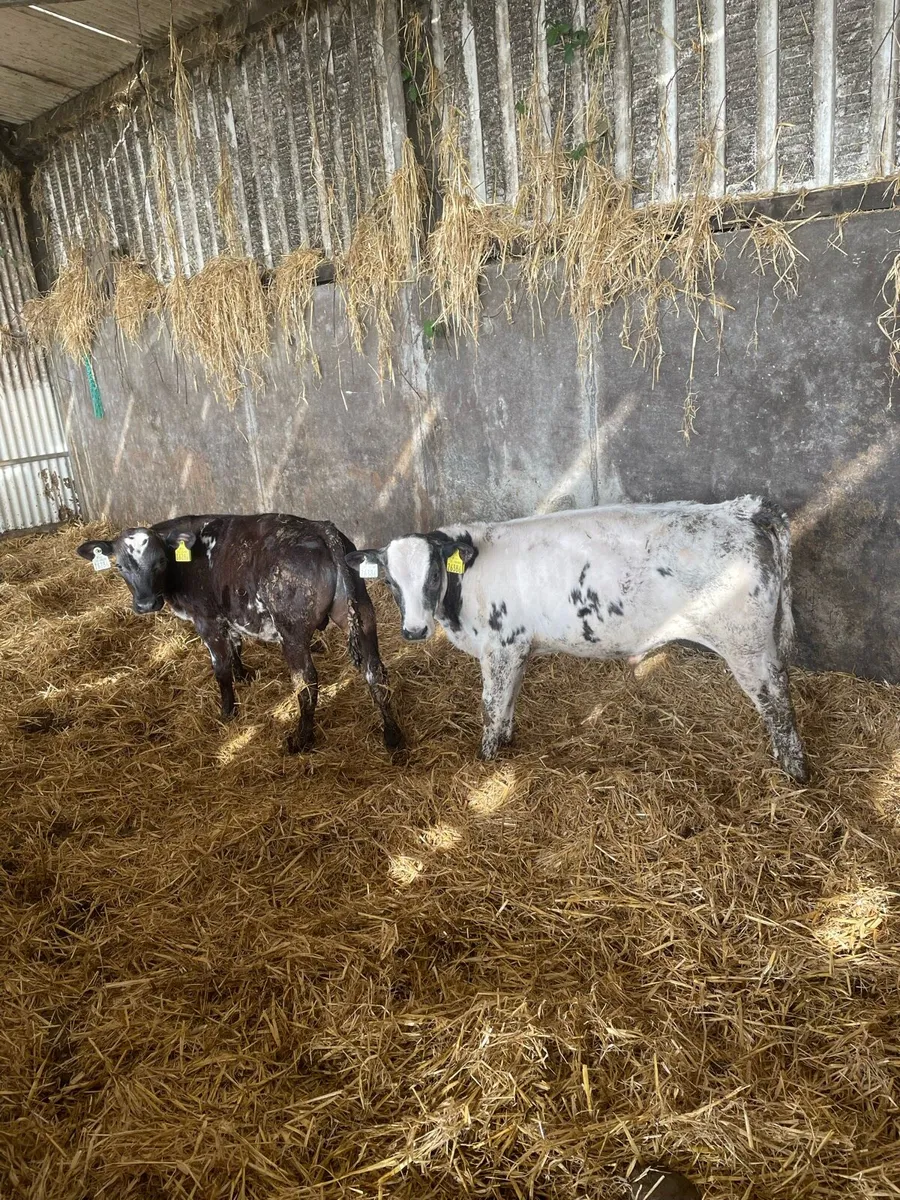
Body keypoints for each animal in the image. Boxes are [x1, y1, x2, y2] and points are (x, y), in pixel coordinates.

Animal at [77, 514, 404, 755]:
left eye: (160, 562)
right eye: (120, 565)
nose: (145, 604)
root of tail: (322, 527)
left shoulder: (207, 620)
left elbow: (219, 668)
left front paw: (227, 711)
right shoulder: (229, 616)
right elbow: (236, 645)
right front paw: (243, 674)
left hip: (292, 631)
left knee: (307, 682)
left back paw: (300, 739)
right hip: (363, 614)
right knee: (375, 671)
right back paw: (393, 737)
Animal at [346, 497, 809, 782]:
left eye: (432, 575)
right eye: (389, 581)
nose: (414, 631)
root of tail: (741, 509)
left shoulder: (500, 647)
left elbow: (491, 706)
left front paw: (486, 758)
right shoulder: (519, 648)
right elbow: (509, 700)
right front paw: (507, 742)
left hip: (746, 644)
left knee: (777, 701)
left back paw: (795, 770)